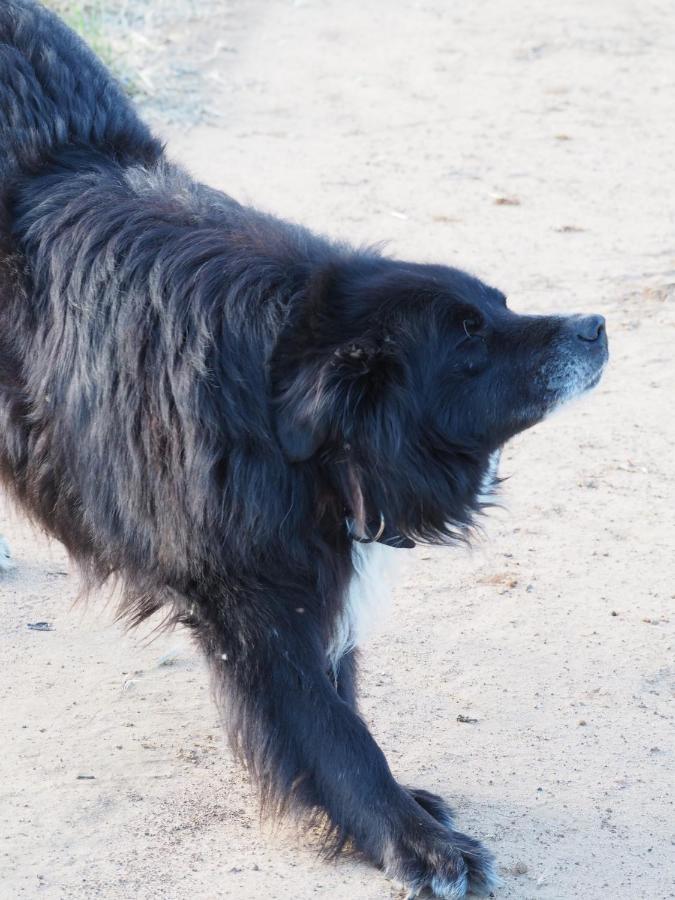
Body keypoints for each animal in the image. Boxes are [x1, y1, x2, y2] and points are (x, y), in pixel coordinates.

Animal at [0, 3, 608, 896]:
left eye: (499, 304)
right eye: (470, 341)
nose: (595, 326)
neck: (272, 380)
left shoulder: (312, 553)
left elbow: (339, 694)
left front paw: (396, 816)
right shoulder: (246, 593)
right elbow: (331, 727)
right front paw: (417, 844)